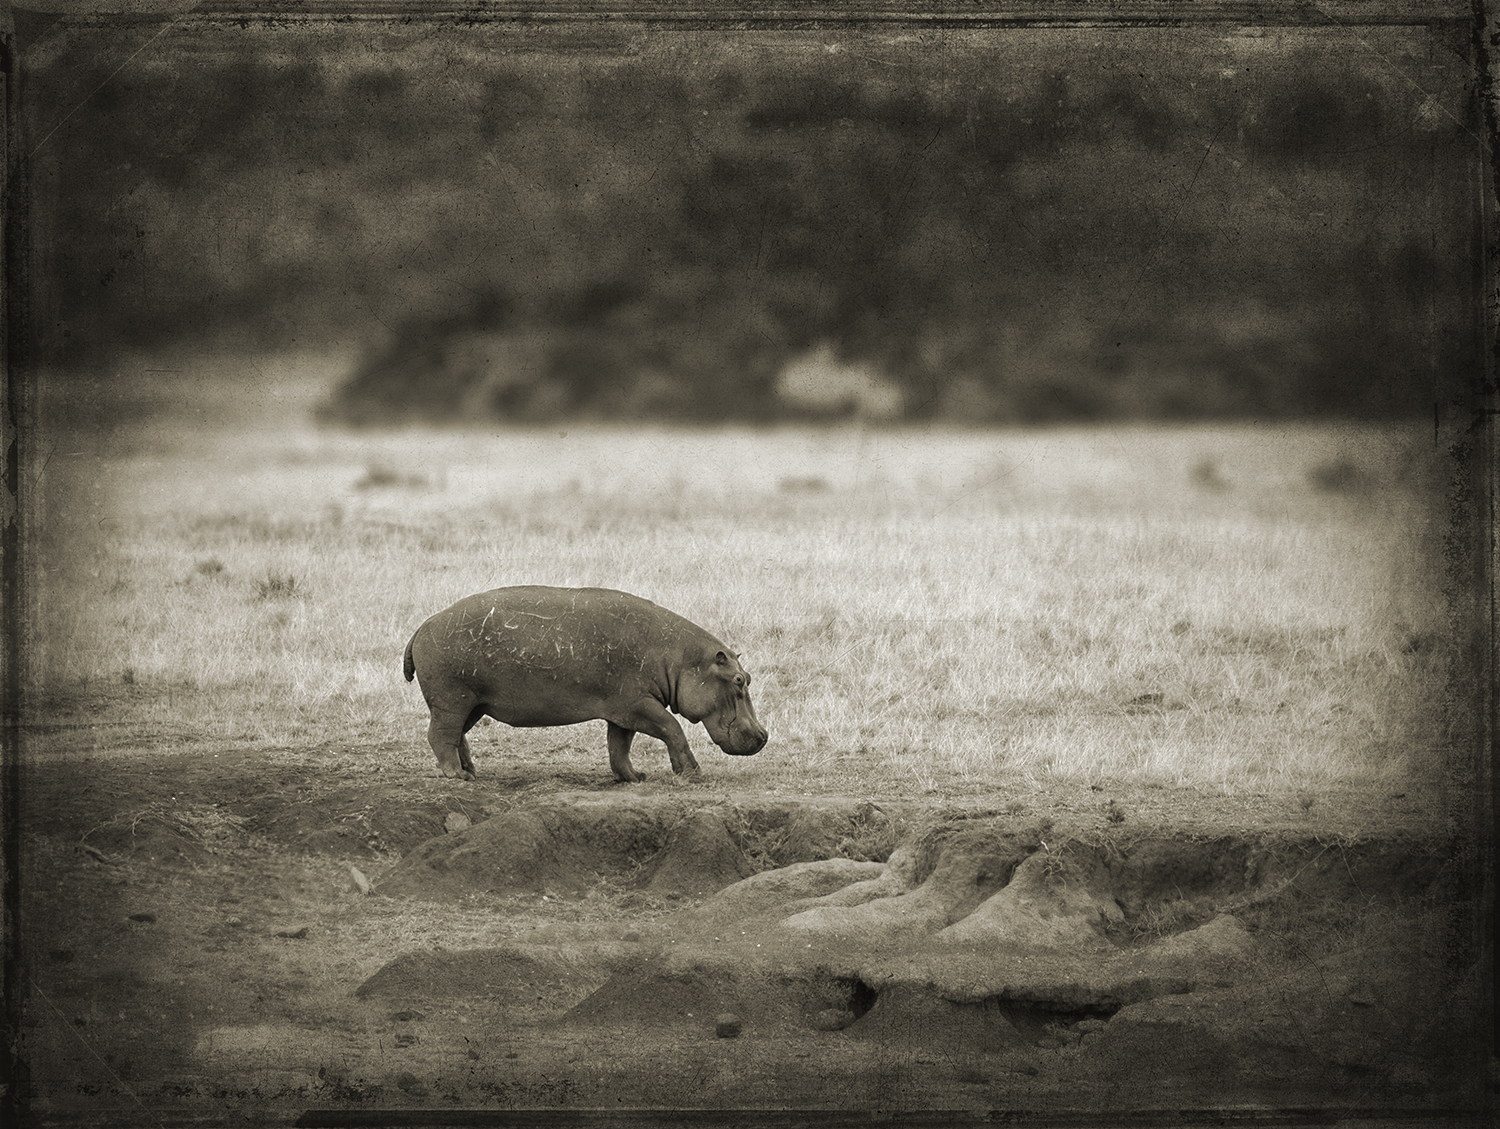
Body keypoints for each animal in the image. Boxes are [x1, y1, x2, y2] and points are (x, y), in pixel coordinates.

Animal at [405, 584, 768, 779]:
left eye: (748, 677)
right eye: (738, 680)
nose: (763, 735)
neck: (680, 659)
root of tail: (422, 626)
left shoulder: (623, 709)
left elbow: (619, 746)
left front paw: (634, 777)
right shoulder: (638, 703)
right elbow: (672, 729)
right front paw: (692, 774)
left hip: (475, 704)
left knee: (457, 736)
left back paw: (471, 771)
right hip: (453, 700)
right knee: (440, 735)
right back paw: (457, 775)